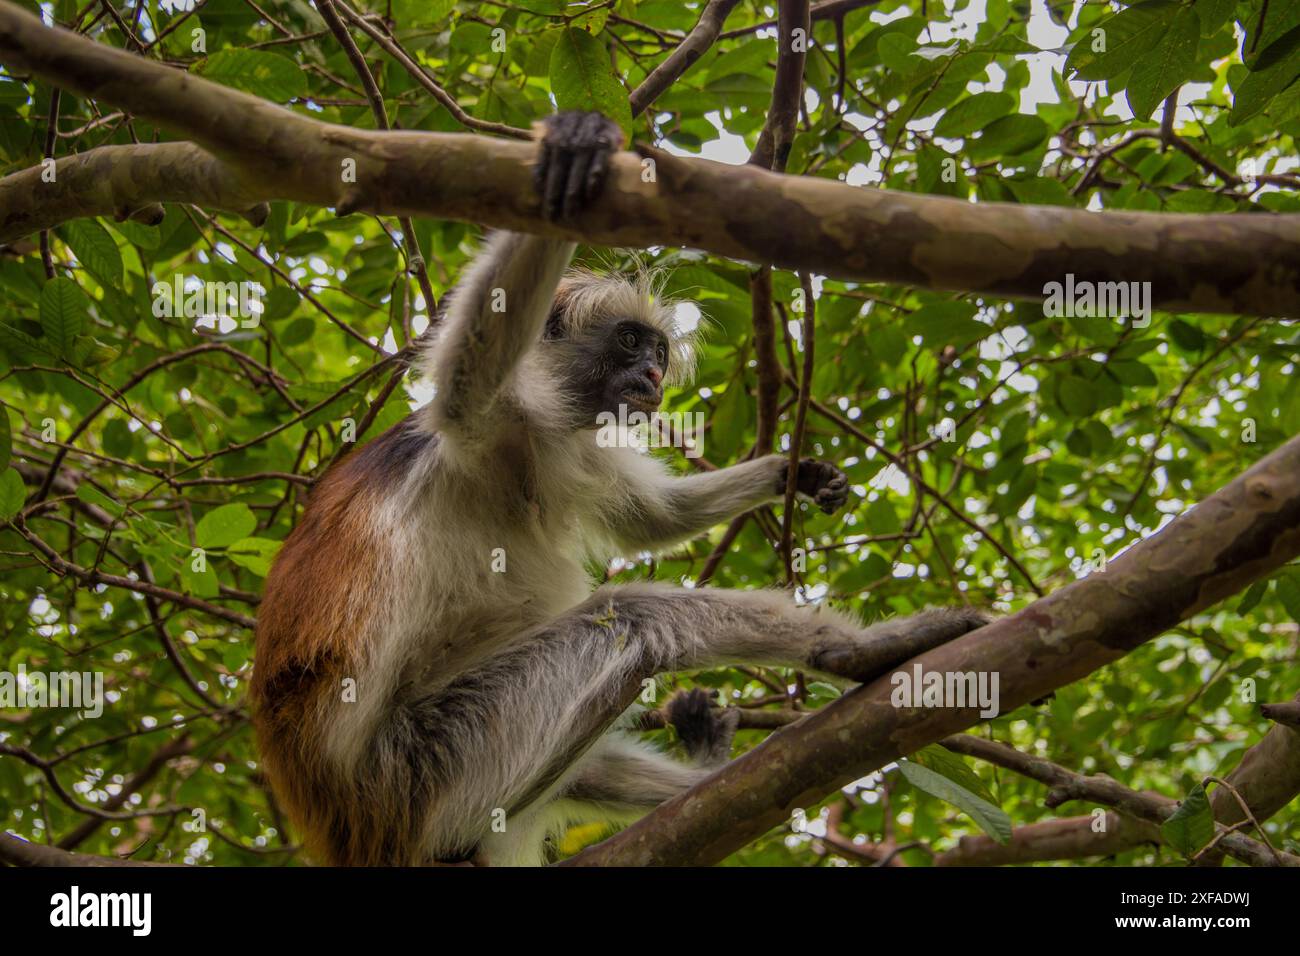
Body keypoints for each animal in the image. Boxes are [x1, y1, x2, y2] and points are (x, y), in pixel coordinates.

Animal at [250, 110, 982, 868]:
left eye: (657, 351)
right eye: (631, 342)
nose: (655, 375)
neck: (532, 442)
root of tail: (349, 825)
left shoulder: (571, 443)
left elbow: (651, 520)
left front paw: (793, 472)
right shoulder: (494, 416)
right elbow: (469, 366)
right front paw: (575, 144)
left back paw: (708, 771)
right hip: (426, 768)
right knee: (635, 615)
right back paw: (856, 652)